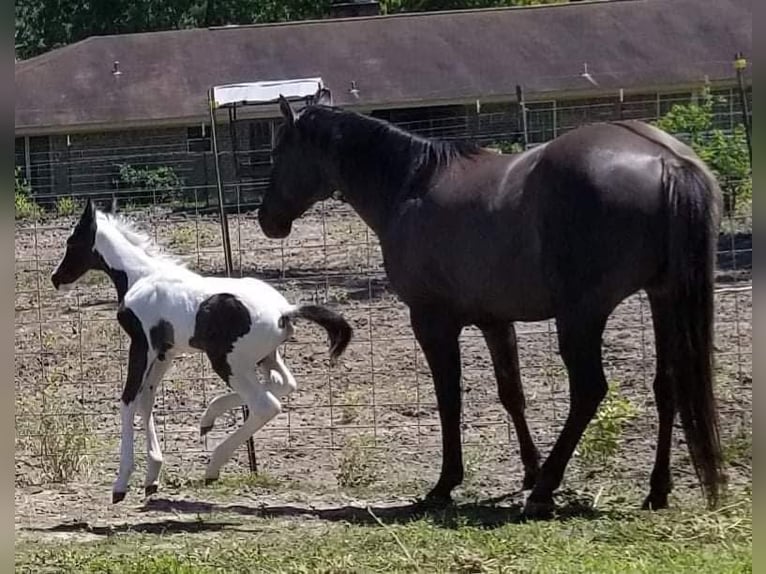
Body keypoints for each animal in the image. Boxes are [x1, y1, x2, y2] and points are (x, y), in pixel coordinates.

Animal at [51, 199, 353, 503]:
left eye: (72, 242)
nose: (56, 279)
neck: (142, 277)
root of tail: (284, 310)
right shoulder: (165, 353)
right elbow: (146, 400)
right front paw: (152, 476)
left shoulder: (142, 346)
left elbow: (128, 401)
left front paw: (121, 483)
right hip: (265, 358)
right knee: (284, 384)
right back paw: (208, 419)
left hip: (227, 362)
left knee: (265, 404)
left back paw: (212, 466)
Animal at [258, 90, 725, 518]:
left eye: (279, 151)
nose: (267, 219)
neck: (411, 185)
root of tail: (667, 161)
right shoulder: (495, 321)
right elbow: (511, 394)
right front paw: (529, 471)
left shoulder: (432, 320)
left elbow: (449, 398)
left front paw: (447, 483)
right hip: (662, 298)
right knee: (668, 385)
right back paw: (655, 491)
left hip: (582, 315)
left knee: (589, 390)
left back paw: (545, 493)